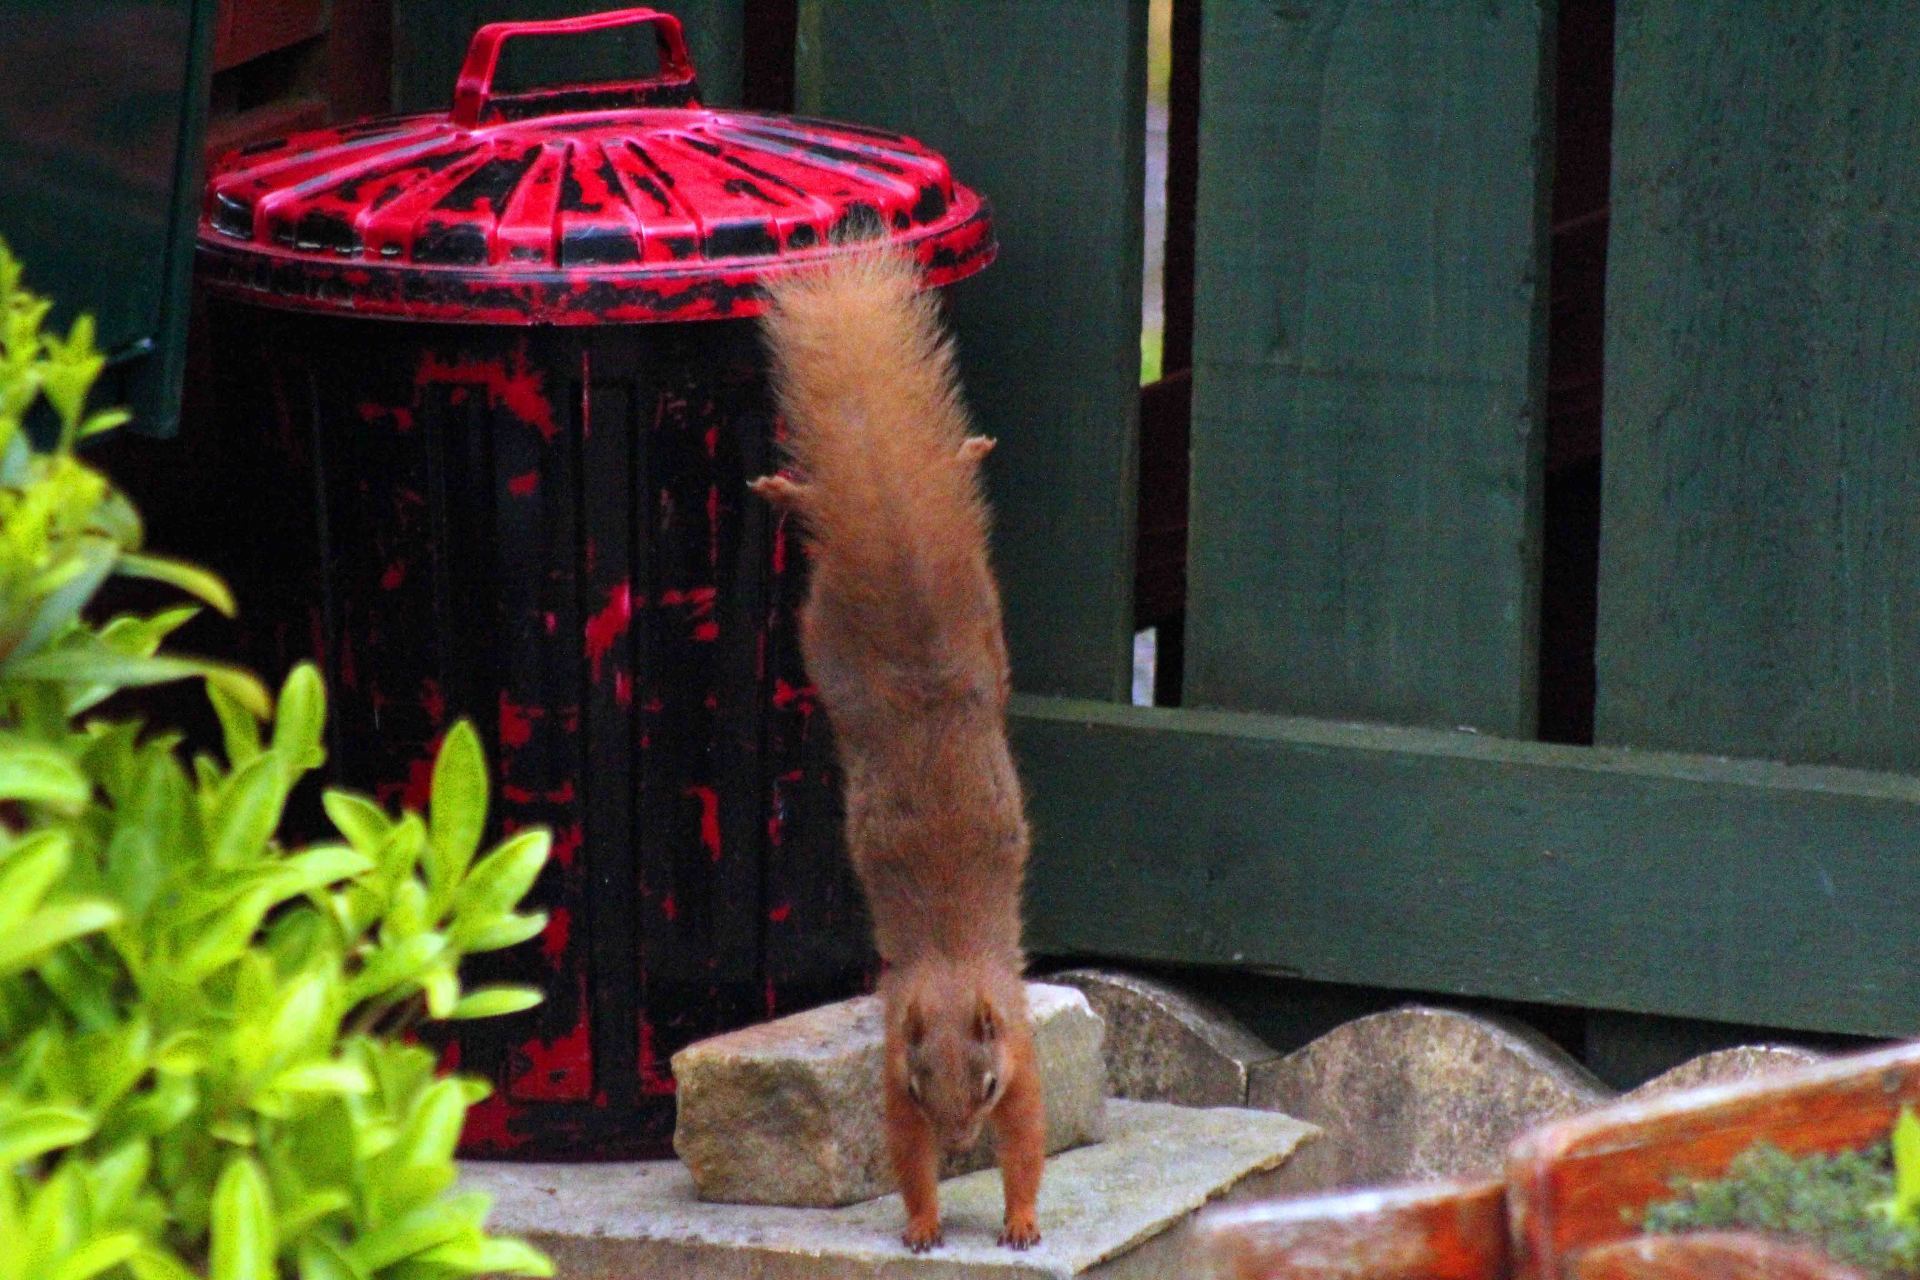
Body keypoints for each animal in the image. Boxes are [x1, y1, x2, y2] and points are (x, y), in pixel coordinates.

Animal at [749, 248, 1044, 1253]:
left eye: (983, 1082)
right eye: (924, 1080)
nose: (960, 1143)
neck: (951, 971)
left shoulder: (1019, 1043)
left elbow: (1027, 1142)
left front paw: (1020, 1219)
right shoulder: (889, 1051)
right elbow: (900, 1150)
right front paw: (921, 1219)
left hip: (950, 620)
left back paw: (960, 455)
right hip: (829, 629)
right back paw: (794, 489)